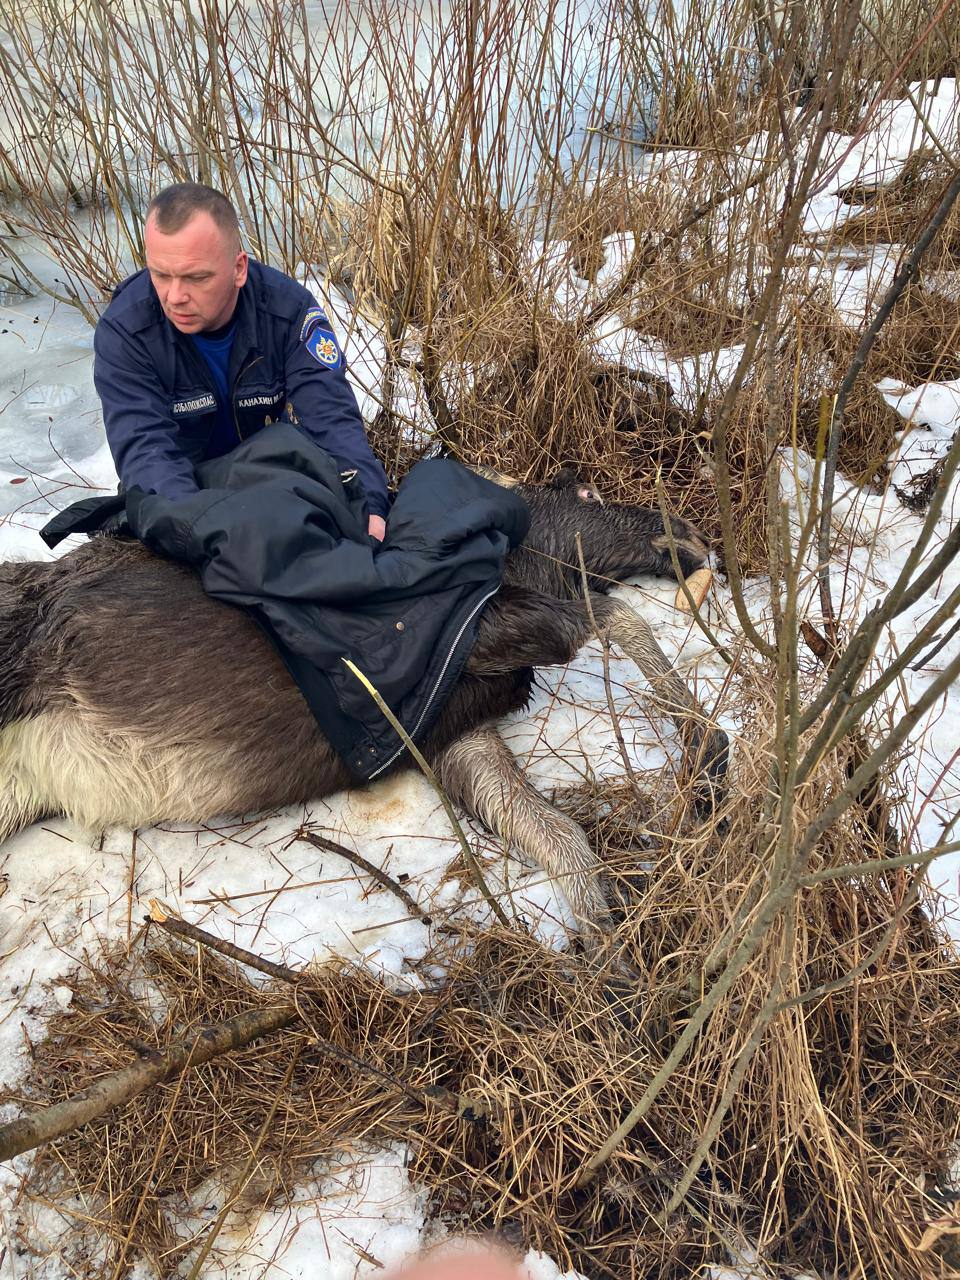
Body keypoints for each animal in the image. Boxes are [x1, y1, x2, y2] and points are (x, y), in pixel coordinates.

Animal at [0, 471, 727, 931]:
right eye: (593, 494)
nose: (692, 532)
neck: (519, 556)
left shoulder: (450, 728)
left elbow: (561, 840)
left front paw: (610, 956)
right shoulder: (483, 633)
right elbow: (616, 619)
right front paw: (707, 747)